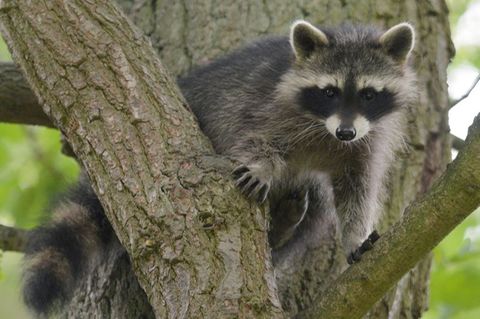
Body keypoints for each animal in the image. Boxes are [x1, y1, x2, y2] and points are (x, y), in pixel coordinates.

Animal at [21, 20, 416, 318]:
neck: (325, 130)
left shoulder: (366, 143)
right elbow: (256, 139)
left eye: (368, 94)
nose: (345, 132)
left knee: (316, 206)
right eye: (329, 91)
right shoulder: (268, 108)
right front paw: (261, 166)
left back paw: (283, 229)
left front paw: (356, 237)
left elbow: (357, 189)